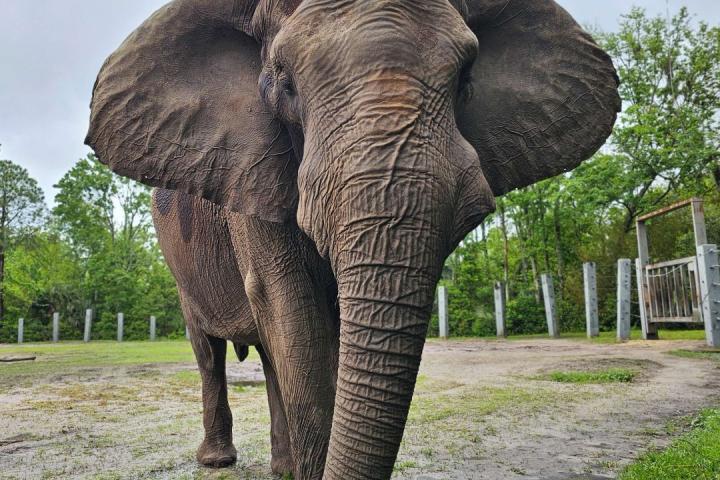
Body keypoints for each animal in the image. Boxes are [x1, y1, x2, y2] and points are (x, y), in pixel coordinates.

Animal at [85, 0, 620, 479]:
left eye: (467, 75)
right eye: (285, 82)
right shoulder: (251, 172)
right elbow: (289, 306)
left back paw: (281, 468)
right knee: (210, 351)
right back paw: (218, 461)